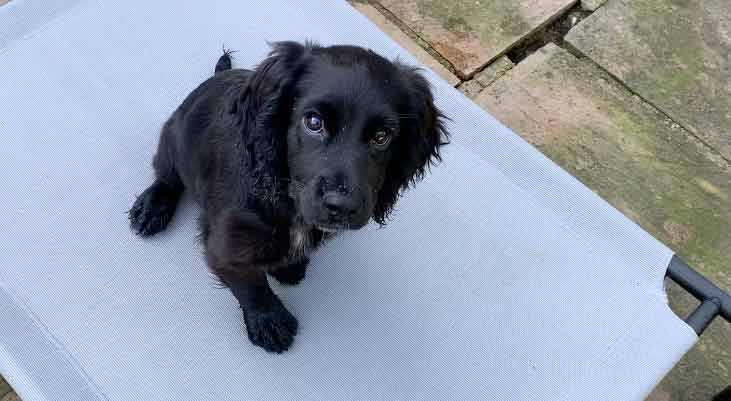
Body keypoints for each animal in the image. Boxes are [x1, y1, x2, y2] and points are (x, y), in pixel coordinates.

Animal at [131, 42, 448, 352]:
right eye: (313, 122)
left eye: (382, 137)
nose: (343, 207)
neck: (288, 201)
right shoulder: (227, 245)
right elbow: (251, 285)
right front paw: (269, 321)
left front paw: (289, 267)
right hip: (172, 138)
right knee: (167, 176)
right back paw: (151, 207)